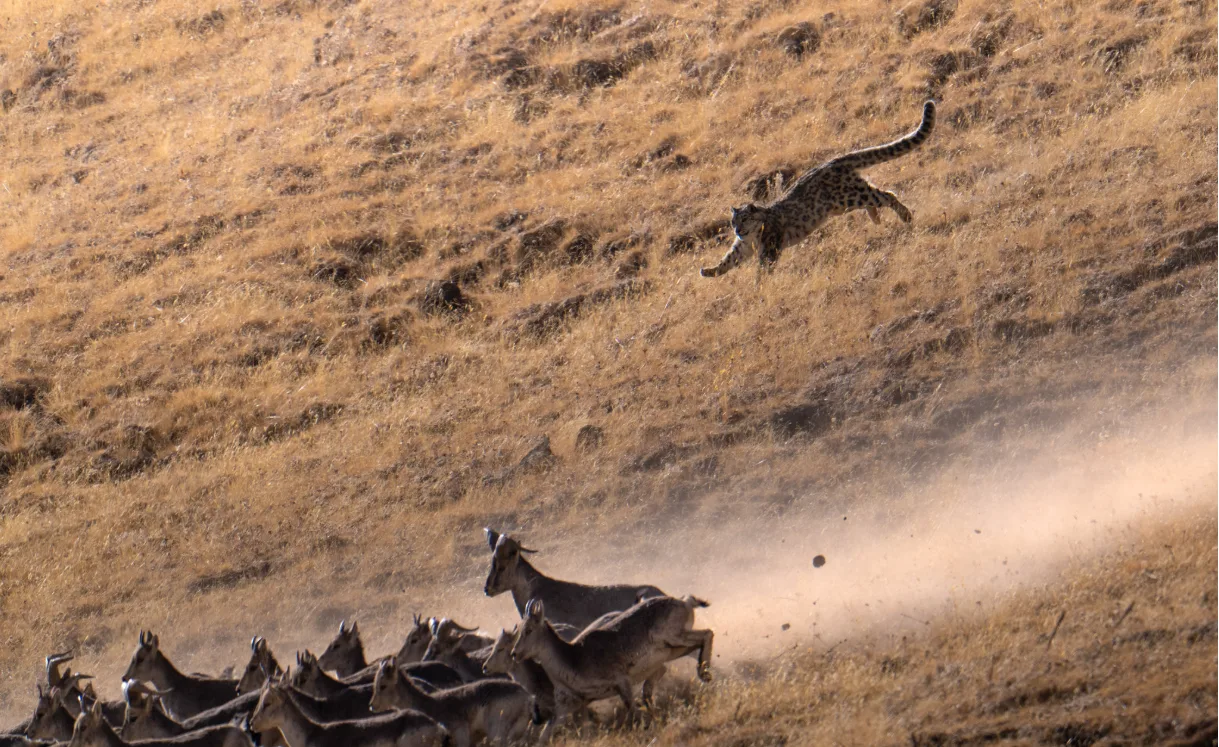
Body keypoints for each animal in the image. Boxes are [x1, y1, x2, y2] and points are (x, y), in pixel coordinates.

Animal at [700, 99, 936, 279]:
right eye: (733, 221)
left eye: (745, 219)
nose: (738, 230)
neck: (752, 239)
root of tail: (834, 161)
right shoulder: (741, 248)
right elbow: (728, 259)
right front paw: (709, 271)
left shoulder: (769, 249)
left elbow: (763, 269)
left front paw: (759, 287)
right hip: (845, 202)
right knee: (875, 194)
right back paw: (876, 218)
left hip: (850, 196)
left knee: (886, 194)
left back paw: (905, 216)